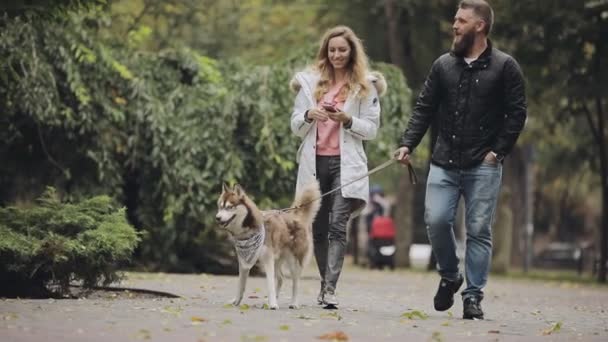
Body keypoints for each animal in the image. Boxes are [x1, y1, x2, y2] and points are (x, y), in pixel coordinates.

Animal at [215, 182, 320, 310]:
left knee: (295, 282)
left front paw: (273, 304)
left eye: (229, 207)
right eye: (220, 207)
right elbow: (241, 285)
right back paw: (274, 299)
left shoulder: (267, 259)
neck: (248, 230)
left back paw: (293, 303)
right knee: (280, 278)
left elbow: (270, 284)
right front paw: (236, 301)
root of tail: (295, 216)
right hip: (277, 260)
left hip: (293, 261)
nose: (217, 218)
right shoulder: (243, 261)